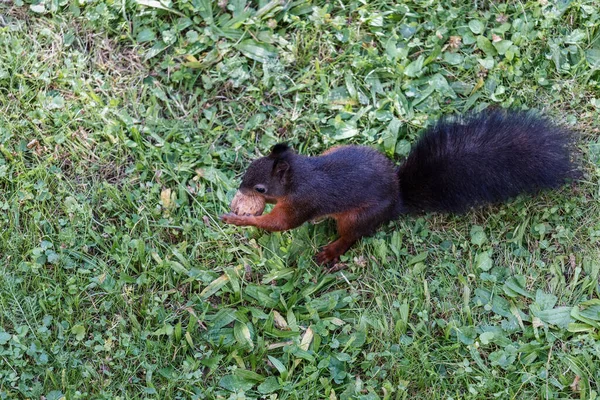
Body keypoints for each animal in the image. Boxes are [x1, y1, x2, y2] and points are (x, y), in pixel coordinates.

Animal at [220, 109, 576, 266]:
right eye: (251, 164)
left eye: (261, 188)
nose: (240, 186)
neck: (301, 174)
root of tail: (397, 199)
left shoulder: (303, 202)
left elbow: (280, 224)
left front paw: (237, 220)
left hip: (358, 216)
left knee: (351, 237)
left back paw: (331, 251)